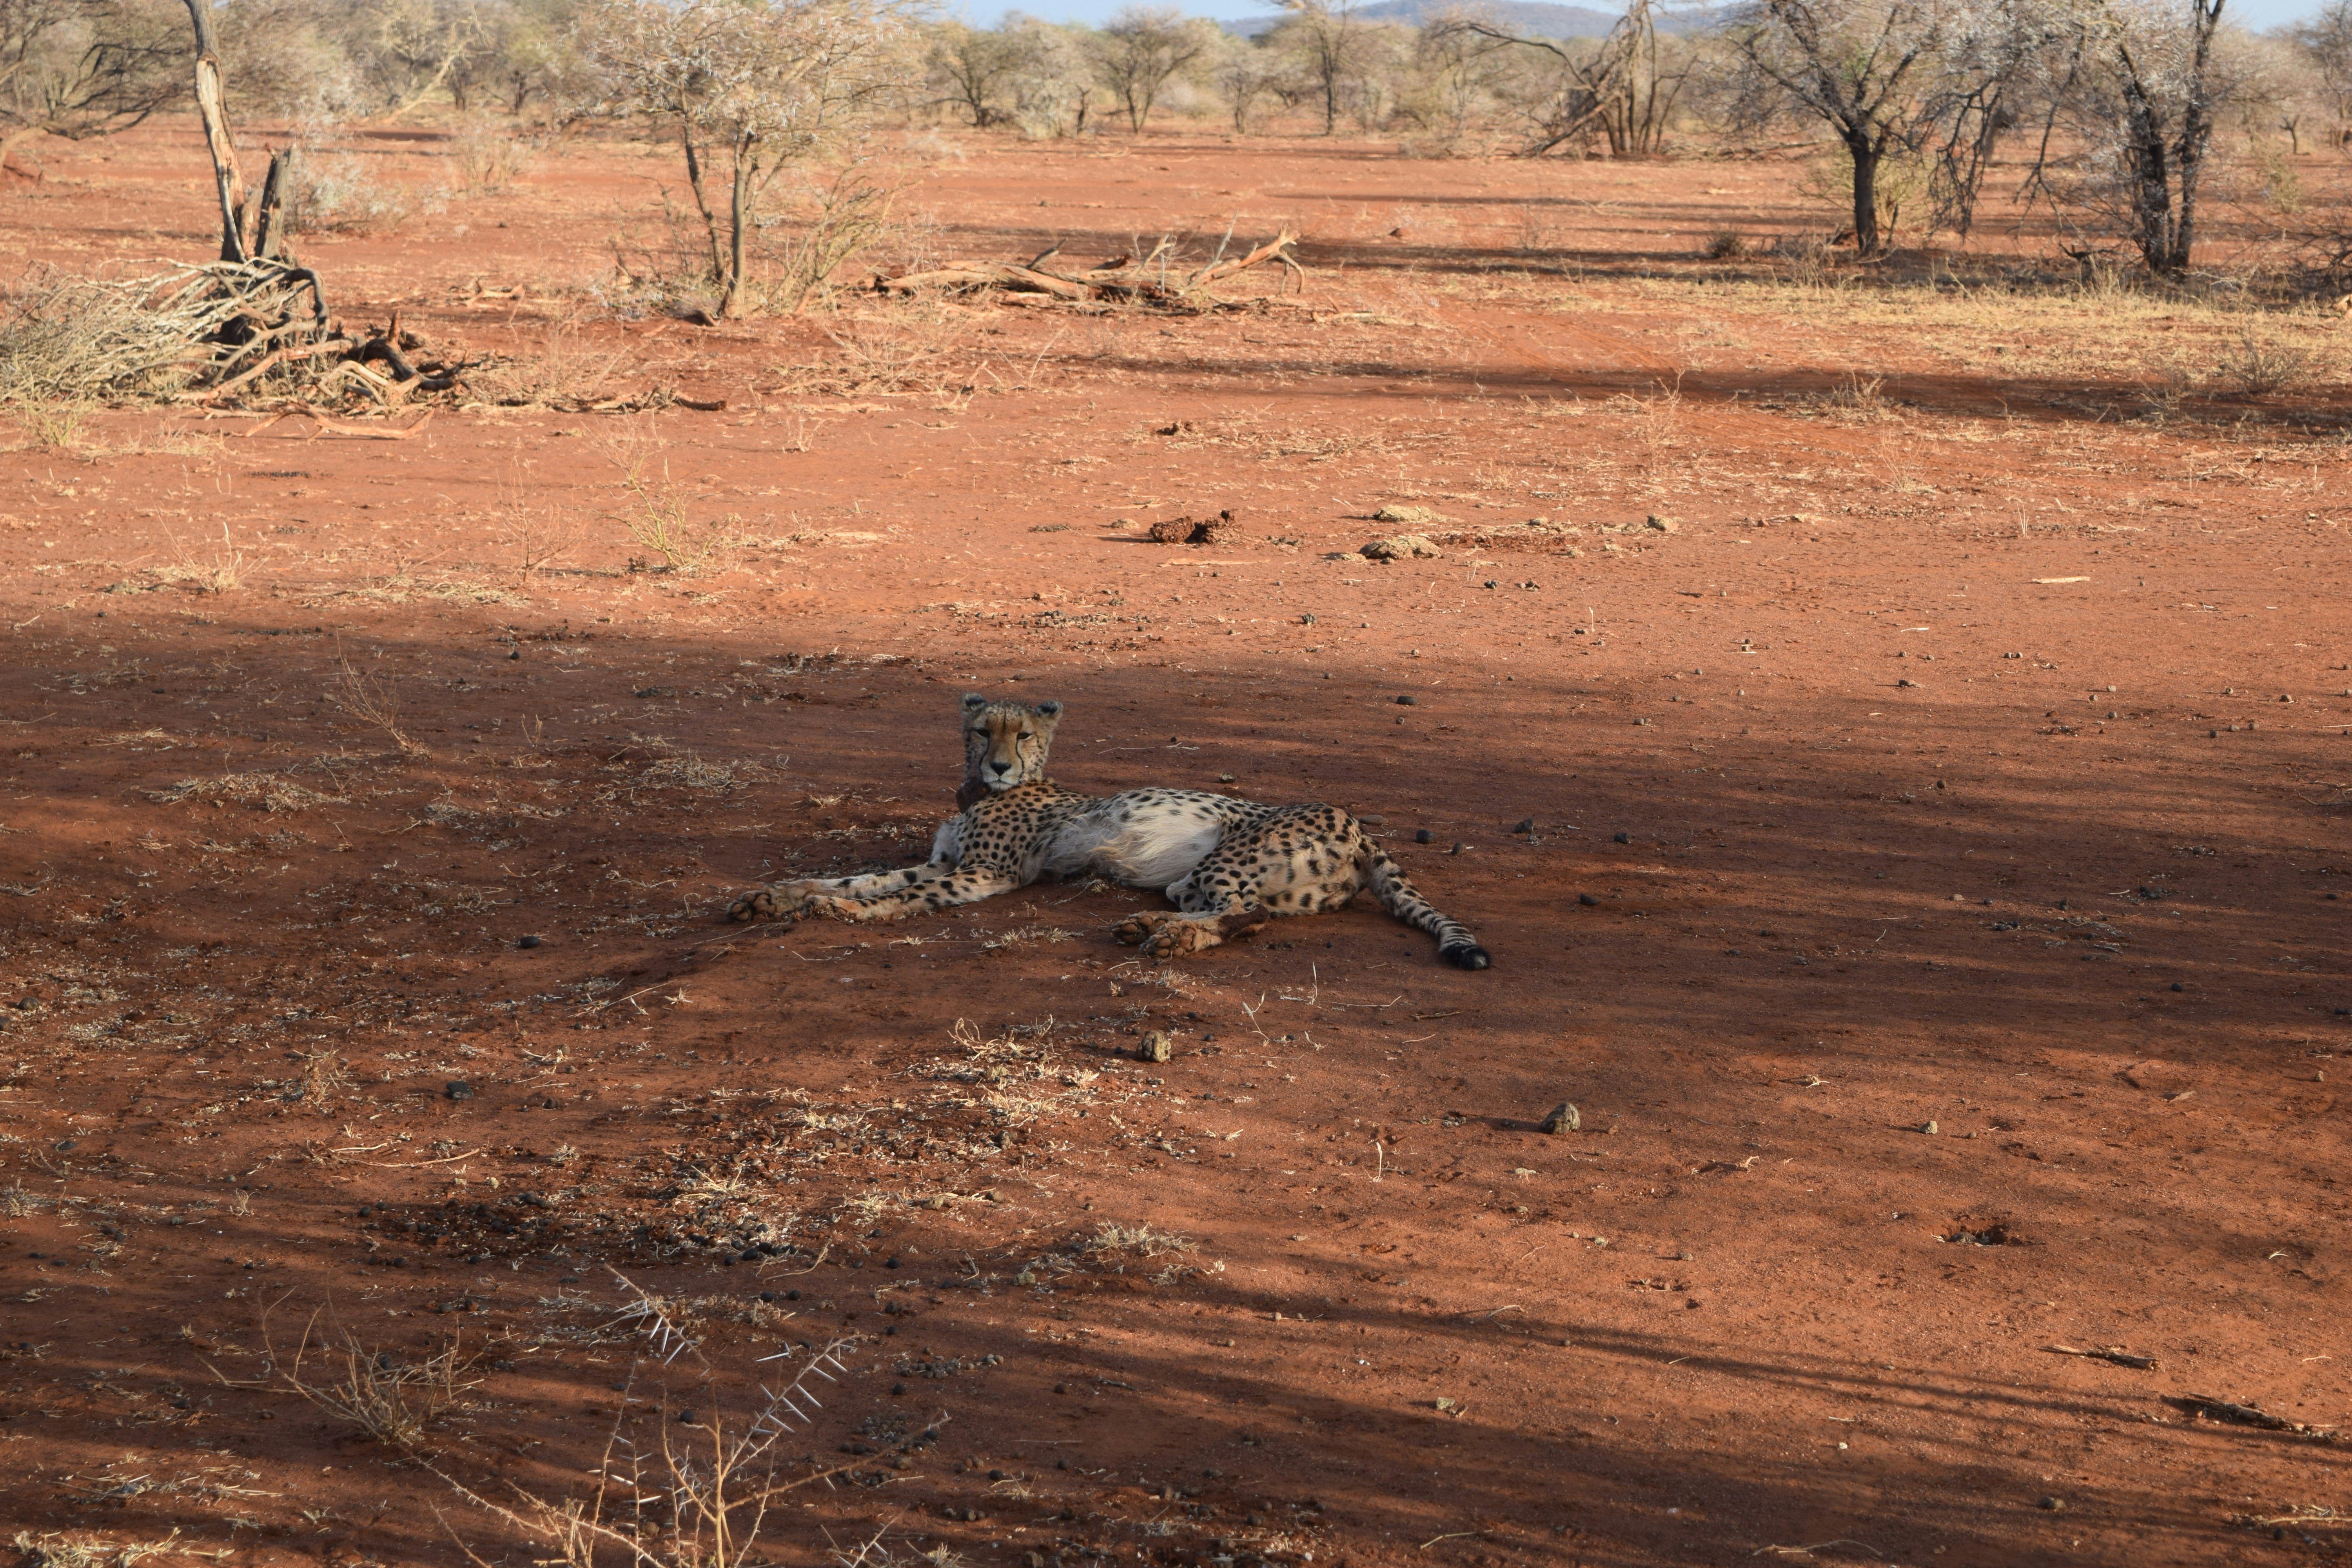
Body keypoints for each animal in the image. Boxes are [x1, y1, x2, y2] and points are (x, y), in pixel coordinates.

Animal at [726, 693, 1492, 969]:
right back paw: (1147, 927)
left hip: (1226, 861)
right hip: (1206, 880)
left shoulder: (983, 875)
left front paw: (852, 914)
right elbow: (859, 876)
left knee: (1244, 913)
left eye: (1023, 734)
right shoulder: (942, 861)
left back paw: (1168, 939)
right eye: (982, 731)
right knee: (1235, 913)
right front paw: (781, 896)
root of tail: (1356, 822)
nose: (998, 765)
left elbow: (899, 897)